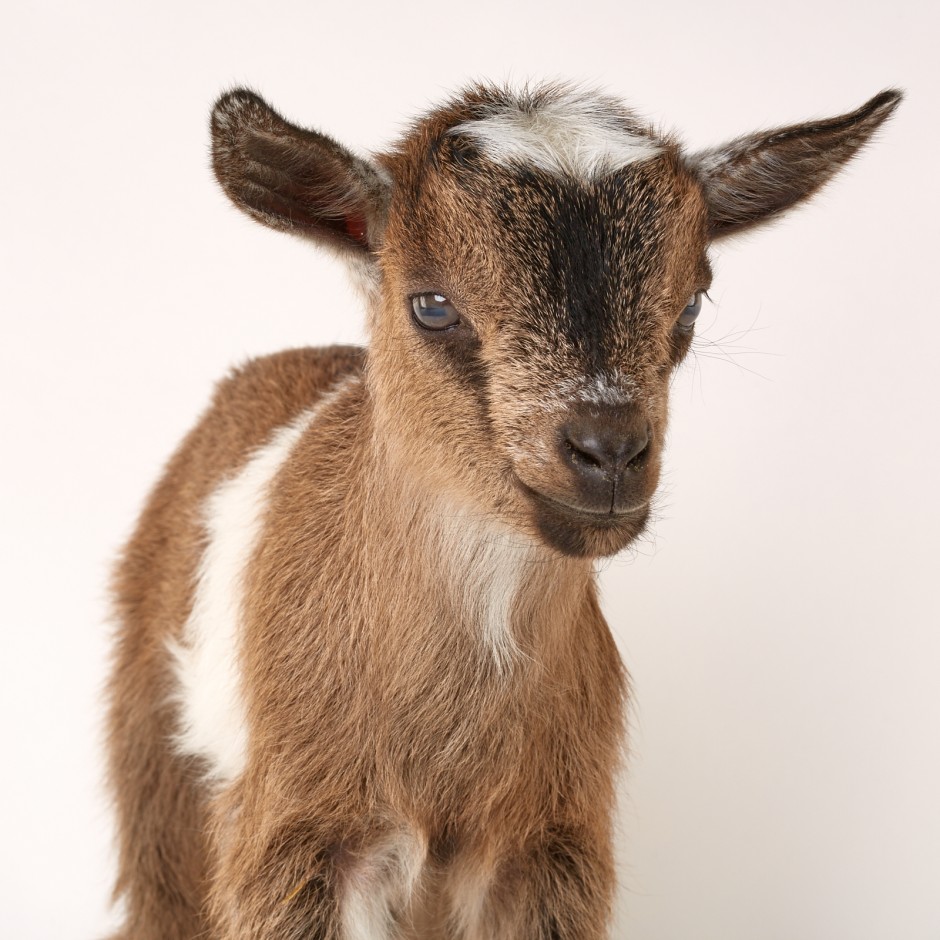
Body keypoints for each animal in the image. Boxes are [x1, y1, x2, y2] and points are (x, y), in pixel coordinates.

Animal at [105, 82, 900, 939]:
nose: (608, 451)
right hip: (154, 773)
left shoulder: (551, 845)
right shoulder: (298, 841)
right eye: (431, 304)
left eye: (692, 305)